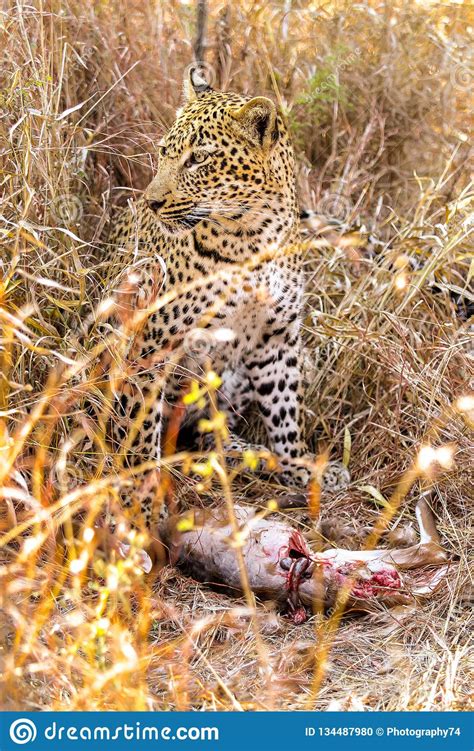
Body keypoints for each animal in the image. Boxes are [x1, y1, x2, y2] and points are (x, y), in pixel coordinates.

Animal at [103, 69, 312, 528]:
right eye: (165, 152)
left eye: (199, 159)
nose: (151, 202)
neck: (252, 236)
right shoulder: (151, 345)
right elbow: (140, 428)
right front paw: (142, 498)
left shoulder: (276, 338)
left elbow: (284, 407)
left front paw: (298, 463)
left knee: (207, 431)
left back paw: (249, 454)